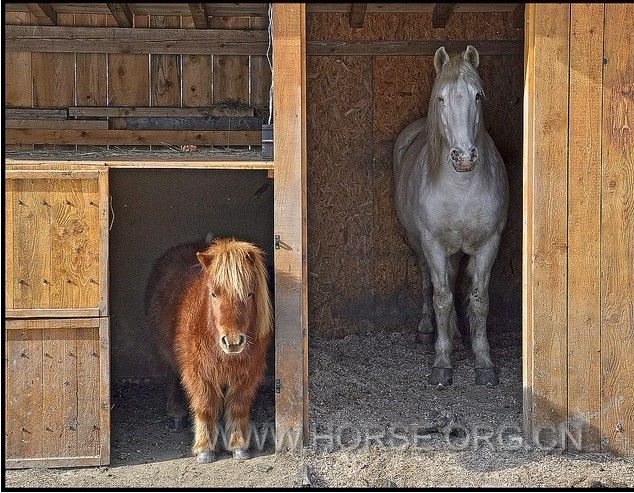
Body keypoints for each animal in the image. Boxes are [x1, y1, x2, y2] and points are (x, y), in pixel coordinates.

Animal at [144, 236, 272, 460]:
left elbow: (238, 407)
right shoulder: (198, 372)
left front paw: (238, 446)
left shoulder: (248, 373)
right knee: (172, 377)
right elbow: (205, 407)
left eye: (249, 294)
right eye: (213, 294)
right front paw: (204, 448)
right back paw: (176, 413)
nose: (233, 342)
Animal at [392, 45, 506, 384]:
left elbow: (479, 301)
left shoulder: (488, 244)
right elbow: (440, 297)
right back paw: (428, 331)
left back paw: (456, 337)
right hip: (419, 244)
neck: (461, 186)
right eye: (441, 98)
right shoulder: (433, 244)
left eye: (478, 96)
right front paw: (442, 363)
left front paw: (484, 363)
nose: (464, 156)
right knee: (428, 282)